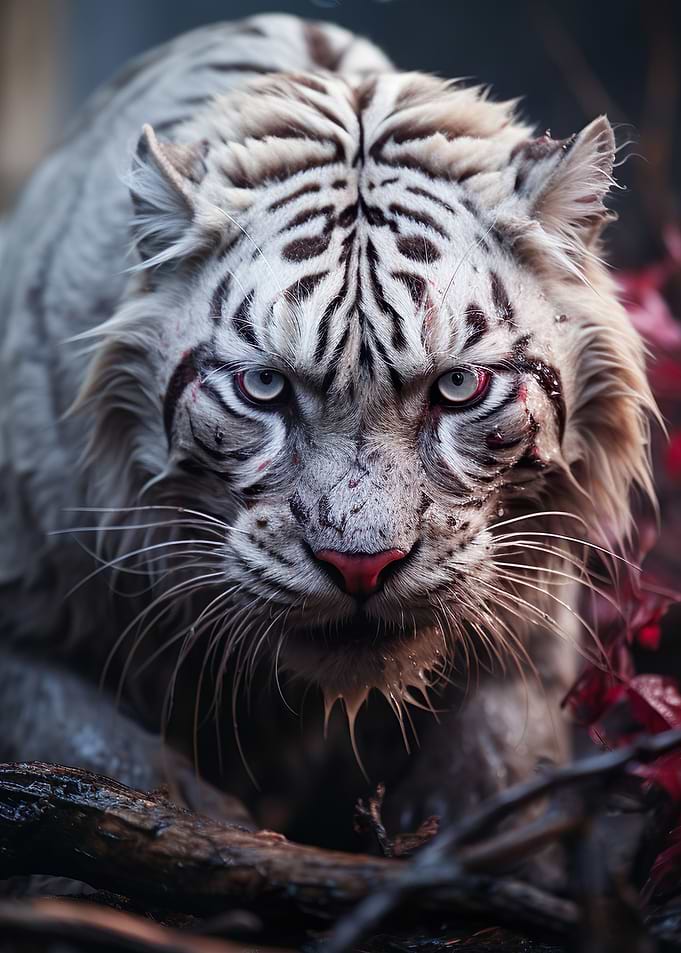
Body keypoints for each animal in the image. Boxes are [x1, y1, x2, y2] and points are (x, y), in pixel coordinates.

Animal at [0, 13, 654, 838]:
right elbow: (85, 735)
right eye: (263, 386)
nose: (360, 567)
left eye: (458, 386)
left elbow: (505, 748)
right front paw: (193, 815)